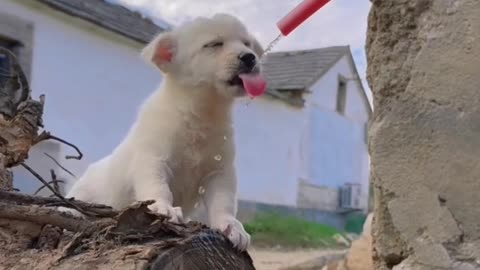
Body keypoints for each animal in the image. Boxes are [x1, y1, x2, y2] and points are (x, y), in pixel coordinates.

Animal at [61, 13, 266, 251]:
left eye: (247, 44)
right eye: (214, 44)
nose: (250, 57)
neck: (200, 114)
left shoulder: (219, 171)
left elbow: (223, 202)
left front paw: (231, 226)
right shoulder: (152, 159)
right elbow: (157, 186)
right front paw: (163, 208)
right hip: (83, 193)